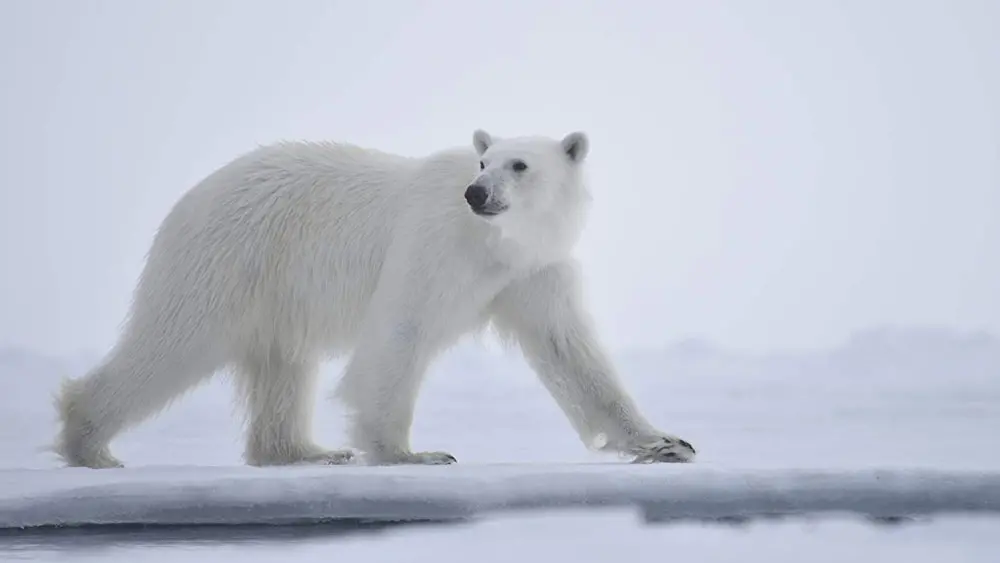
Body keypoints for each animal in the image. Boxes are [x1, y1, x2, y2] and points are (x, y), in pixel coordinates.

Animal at [52, 130, 696, 470]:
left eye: (520, 164)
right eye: (482, 162)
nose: (477, 193)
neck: (492, 243)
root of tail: (188, 200)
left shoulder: (532, 272)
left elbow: (570, 352)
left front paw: (666, 442)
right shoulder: (434, 243)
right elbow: (400, 334)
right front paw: (411, 454)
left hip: (272, 288)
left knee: (282, 365)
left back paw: (306, 451)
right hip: (228, 260)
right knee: (173, 342)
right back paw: (91, 445)